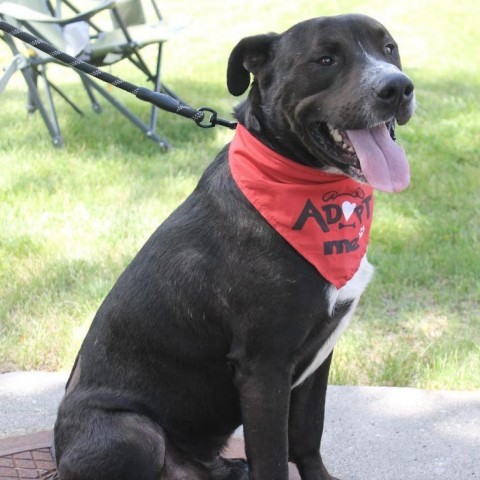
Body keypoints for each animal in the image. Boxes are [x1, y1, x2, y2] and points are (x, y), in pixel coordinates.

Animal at [52, 13, 414, 478]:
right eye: (325, 59)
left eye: (389, 48)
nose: (398, 88)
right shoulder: (264, 365)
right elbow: (274, 456)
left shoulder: (319, 356)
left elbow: (307, 436)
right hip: (134, 430)